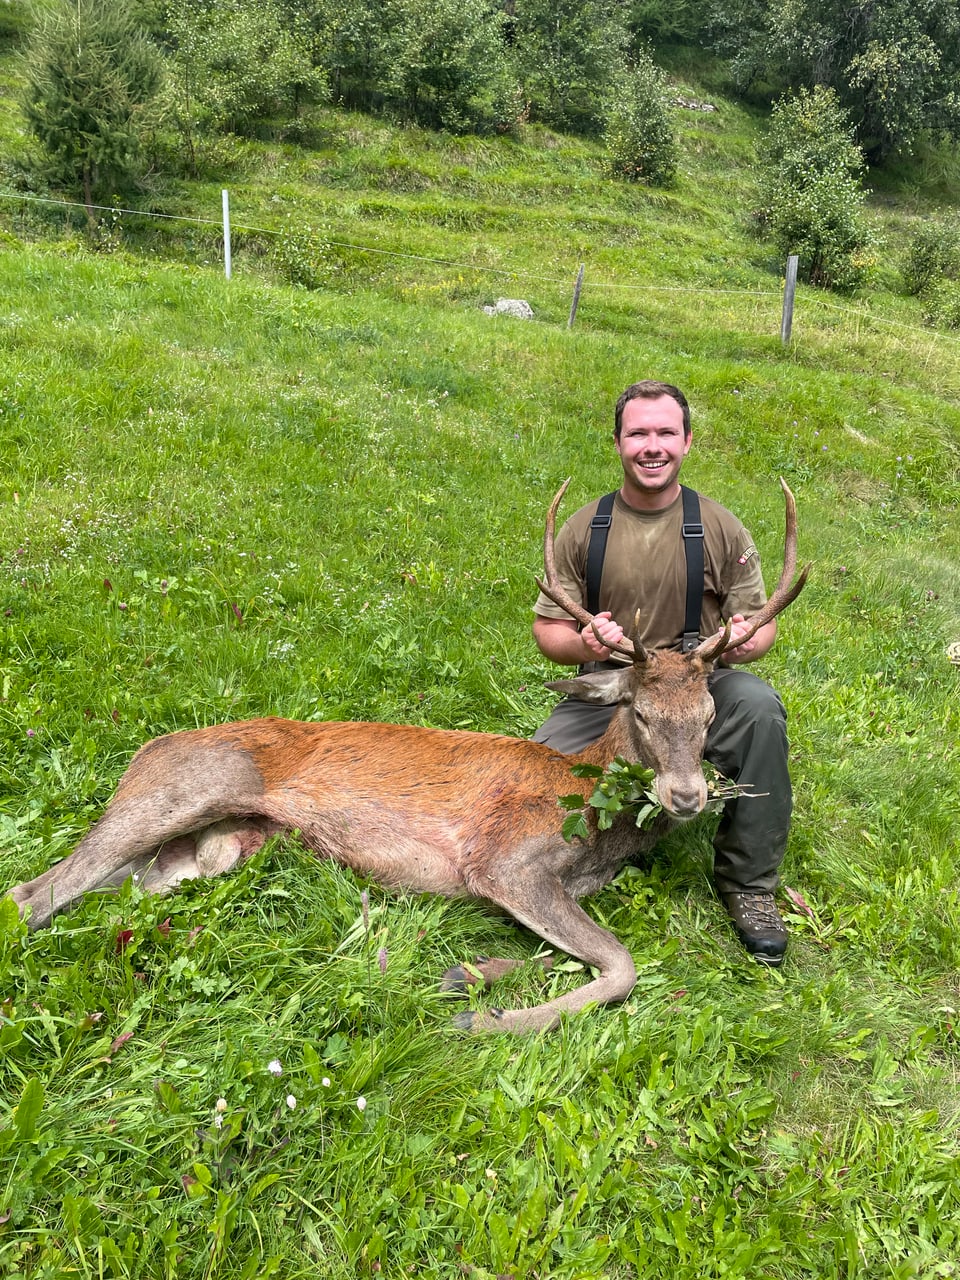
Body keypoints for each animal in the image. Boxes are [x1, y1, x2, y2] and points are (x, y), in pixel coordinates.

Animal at [7, 481, 814, 1029]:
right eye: (641, 714)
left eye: (707, 717)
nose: (687, 796)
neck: (595, 827)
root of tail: (144, 751)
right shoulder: (503, 858)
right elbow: (620, 964)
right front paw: (481, 1017)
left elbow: (567, 952)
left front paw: (471, 976)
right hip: (186, 787)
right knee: (31, 893)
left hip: (207, 852)